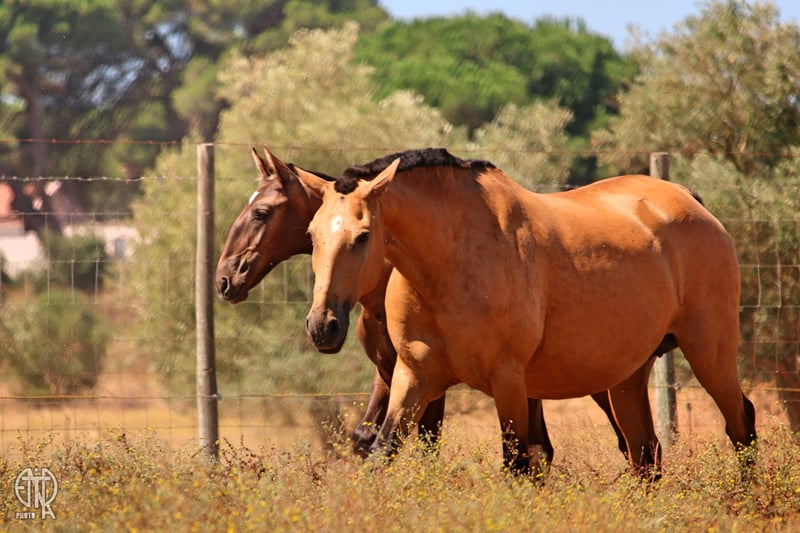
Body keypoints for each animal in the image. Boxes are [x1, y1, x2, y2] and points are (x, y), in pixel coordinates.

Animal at [215, 146, 631, 469]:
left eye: (261, 212)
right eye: (312, 235)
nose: (224, 279)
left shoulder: (428, 381)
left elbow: (426, 445)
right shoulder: (393, 372)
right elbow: (365, 439)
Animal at [299, 148, 757, 477]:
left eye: (363, 236)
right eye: (312, 234)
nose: (323, 326)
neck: (452, 262)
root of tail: (690, 203)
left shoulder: (508, 381)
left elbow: (518, 463)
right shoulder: (413, 376)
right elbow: (383, 451)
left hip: (710, 354)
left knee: (740, 424)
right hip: (627, 377)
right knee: (645, 452)